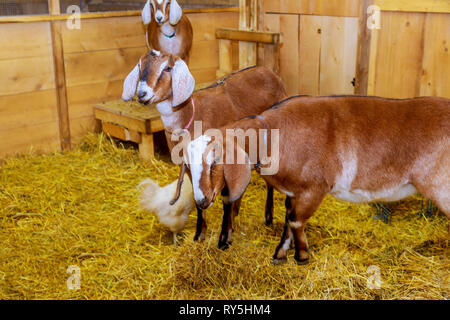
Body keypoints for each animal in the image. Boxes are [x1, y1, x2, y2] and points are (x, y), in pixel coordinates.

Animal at [186, 94, 450, 262]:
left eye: (215, 162)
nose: (201, 201)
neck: (273, 138)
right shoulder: (295, 191)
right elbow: (288, 219)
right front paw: (280, 254)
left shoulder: (314, 189)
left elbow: (295, 222)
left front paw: (302, 256)